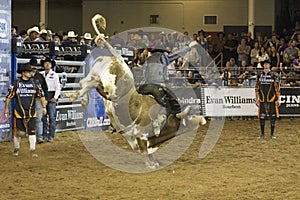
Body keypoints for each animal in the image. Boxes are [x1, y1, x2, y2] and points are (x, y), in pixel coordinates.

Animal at [70, 14, 206, 168]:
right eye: (187, 119)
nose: (202, 120)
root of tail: (119, 60)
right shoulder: (141, 135)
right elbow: (145, 151)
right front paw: (151, 164)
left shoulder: (132, 137)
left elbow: (144, 150)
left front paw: (154, 161)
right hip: (110, 88)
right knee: (93, 84)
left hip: (96, 75)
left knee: (84, 82)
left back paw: (80, 98)